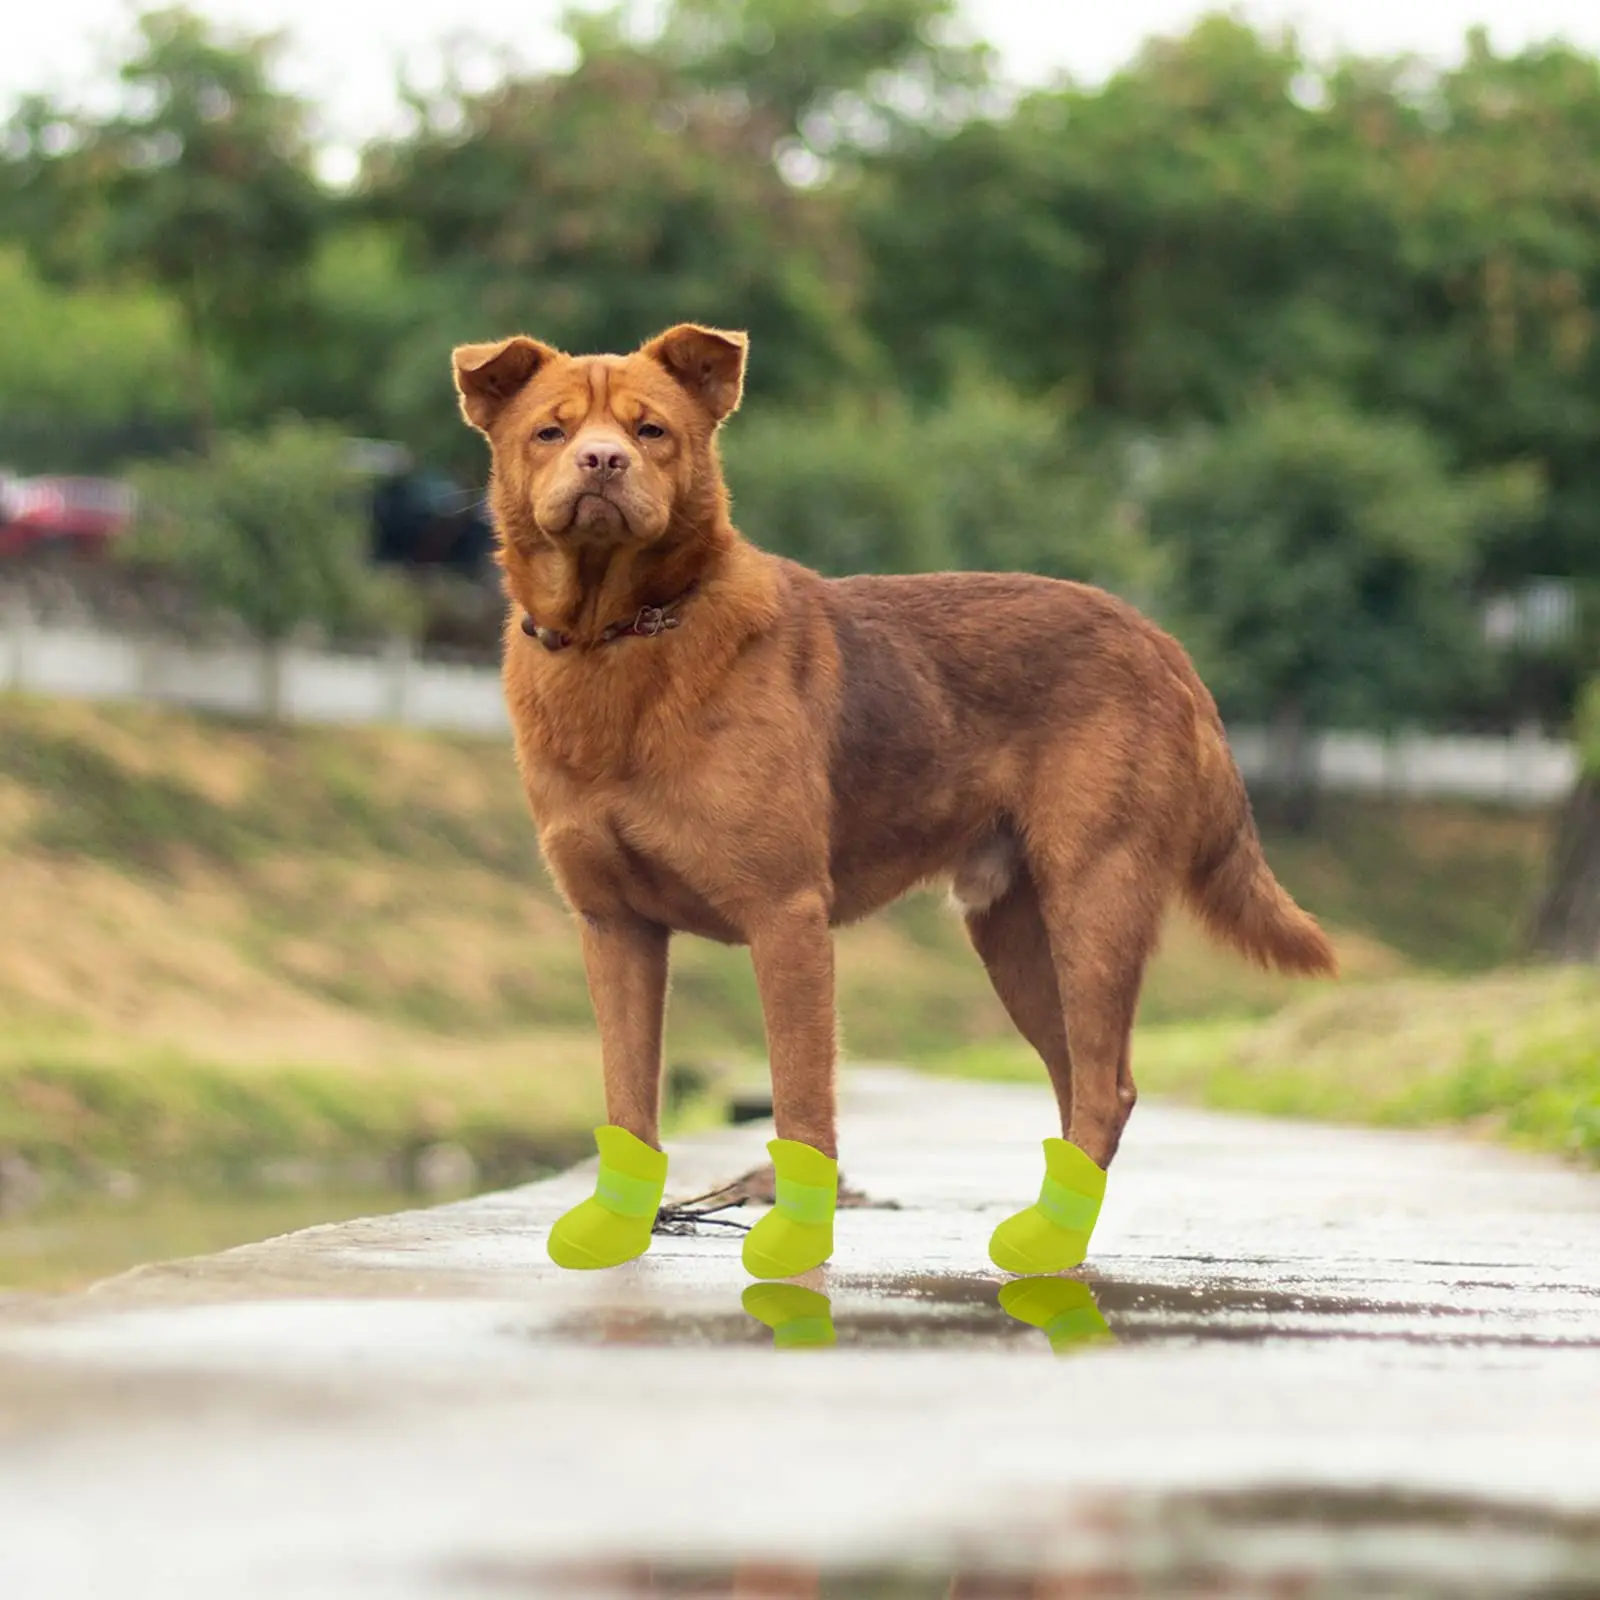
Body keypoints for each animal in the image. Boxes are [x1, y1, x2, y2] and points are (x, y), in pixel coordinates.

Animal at [454, 324, 1337, 1177]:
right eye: (550, 431)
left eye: (652, 431)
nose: (603, 460)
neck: (622, 637)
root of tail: (1162, 644)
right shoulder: (617, 927)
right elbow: (629, 1107)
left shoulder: (786, 914)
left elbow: (801, 1107)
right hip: (1014, 932)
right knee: (1079, 1083)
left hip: (1097, 899)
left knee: (1103, 1086)